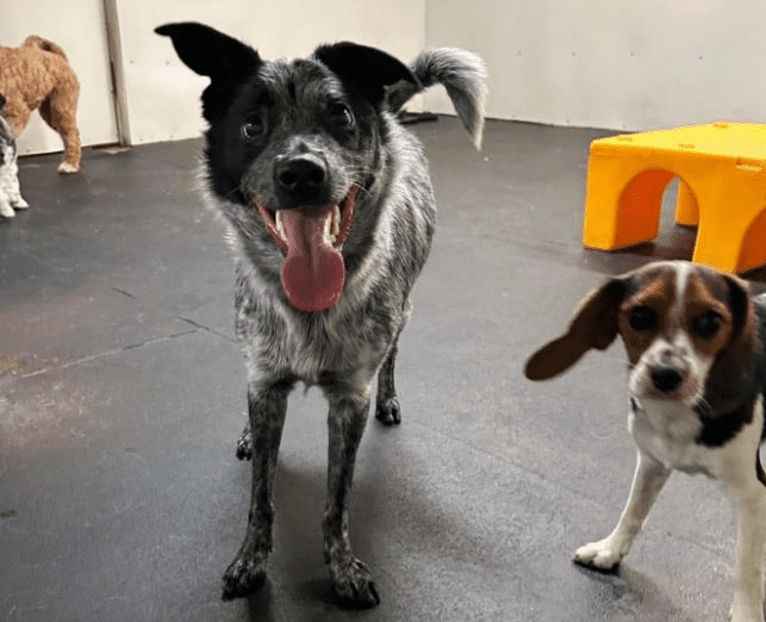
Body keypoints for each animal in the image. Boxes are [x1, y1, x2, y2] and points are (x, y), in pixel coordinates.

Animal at [0, 35, 82, 174]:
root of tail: (58, 57)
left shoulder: (16, 111)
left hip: (61, 108)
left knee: (72, 134)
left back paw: (70, 164)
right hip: (49, 114)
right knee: (66, 134)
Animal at [155, 23, 486, 604]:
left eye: (342, 117)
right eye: (251, 126)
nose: (302, 173)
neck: (307, 306)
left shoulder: (349, 399)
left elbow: (337, 499)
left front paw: (342, 568)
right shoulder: (264, 381)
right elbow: (261, 496)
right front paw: (250, 560)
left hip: (404, 312)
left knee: (393, 356)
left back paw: (390, 398)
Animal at [528, 260, 766, 622]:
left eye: (711, 321)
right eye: (640, 315)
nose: (666, 375)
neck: (677, 414)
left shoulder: (752, 494)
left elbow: (747, 566)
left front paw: (747, 612)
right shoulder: (652, 462)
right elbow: (633, 512)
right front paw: (610, 549)